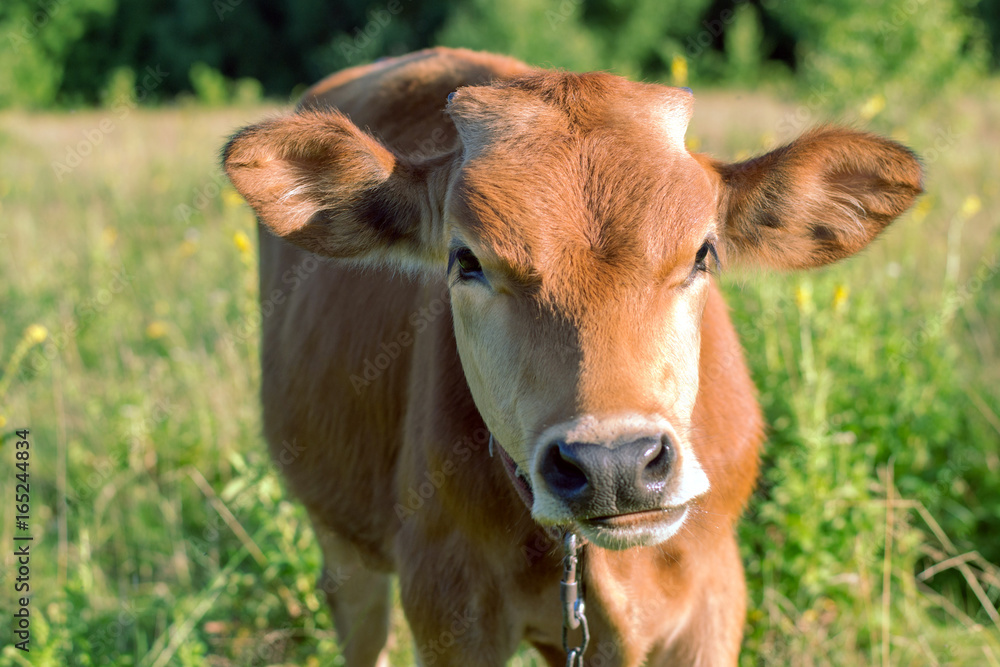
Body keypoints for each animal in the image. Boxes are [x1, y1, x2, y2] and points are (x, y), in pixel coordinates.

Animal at [225, 48, 920, 667]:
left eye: (702, 253)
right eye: (466, 260)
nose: (614, 464)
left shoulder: (715, 601)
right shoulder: (447, 606)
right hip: (342, 543)